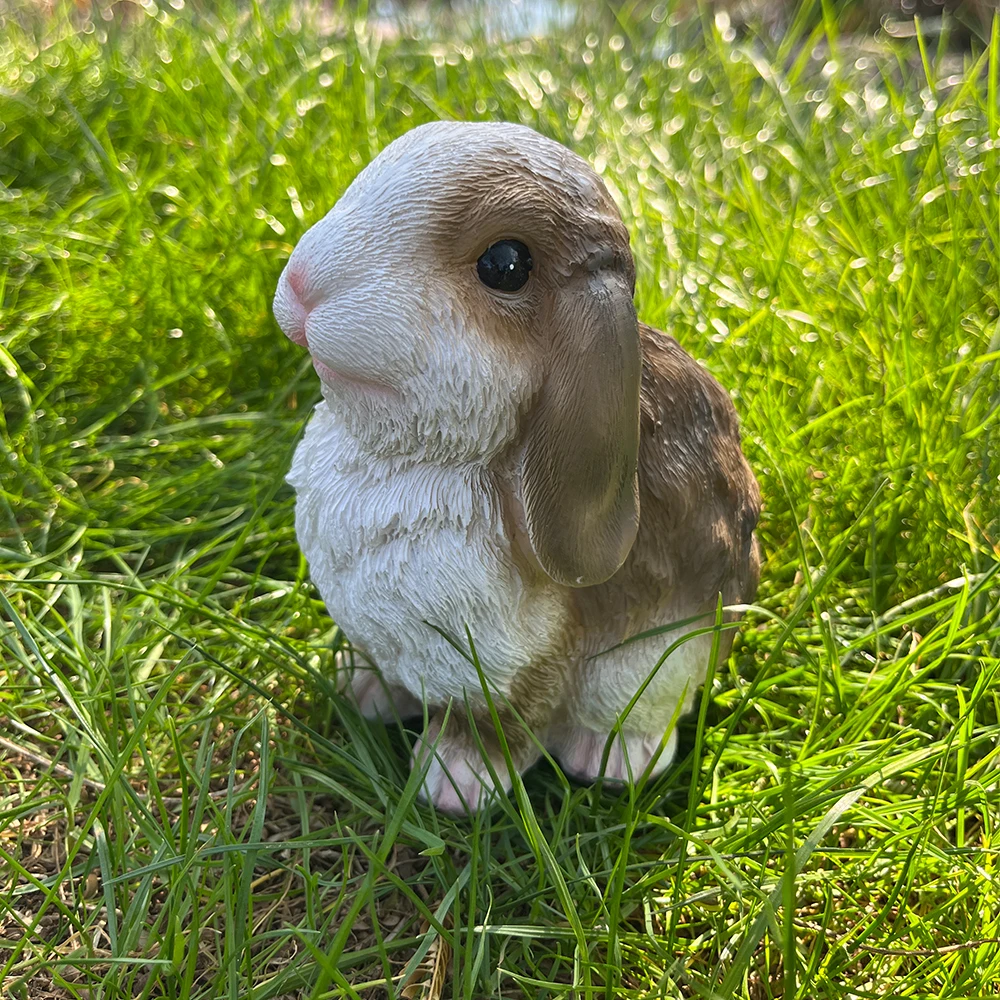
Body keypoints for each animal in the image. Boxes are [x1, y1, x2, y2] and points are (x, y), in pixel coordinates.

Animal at [273, 120, 760, 815]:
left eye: (505, 265)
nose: (302, 284)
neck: (411, 459)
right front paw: (360, 689)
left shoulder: (511, 660)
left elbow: (500, 721)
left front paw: (455, 780)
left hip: (660, 658)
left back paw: (613, 760)